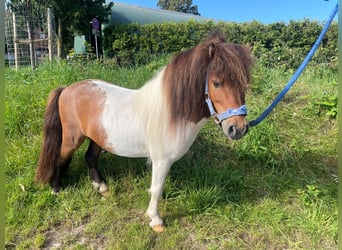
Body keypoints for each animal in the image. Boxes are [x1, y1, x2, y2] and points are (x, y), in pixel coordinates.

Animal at [36, 32, 252, 232]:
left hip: (97, 138)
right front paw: (155, 220)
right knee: (60, 158)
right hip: (72, 138)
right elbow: (156, 189)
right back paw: (56, 189)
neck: (172, 112)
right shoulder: (161, 160)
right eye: (216, 83)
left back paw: (101, 187)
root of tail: (67, 89)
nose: (238, 129)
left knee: (90, 158)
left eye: (244, 83)